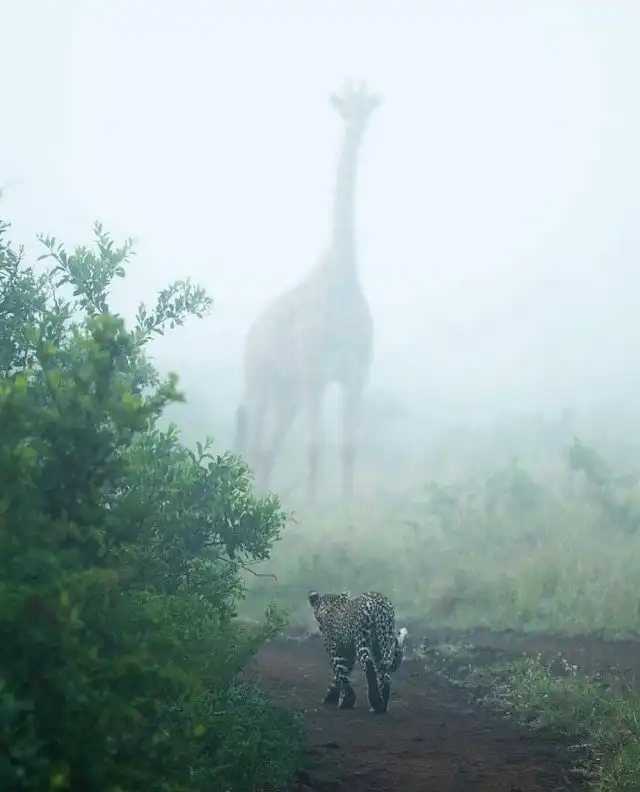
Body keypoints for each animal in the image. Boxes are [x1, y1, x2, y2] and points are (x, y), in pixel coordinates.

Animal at [235, 80, 379, 503]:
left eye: (367, 107)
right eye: (344, 107)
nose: (356, 126)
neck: (343, 280)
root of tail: (249, 334)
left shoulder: (355, 375)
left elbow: (348, 448)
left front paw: (347, 510)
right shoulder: (316, 374)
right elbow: (316, 448)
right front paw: (315, 510)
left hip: (289, 394)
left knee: (269, 448)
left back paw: (264, 501)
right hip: (260, 379)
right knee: (254, 444)